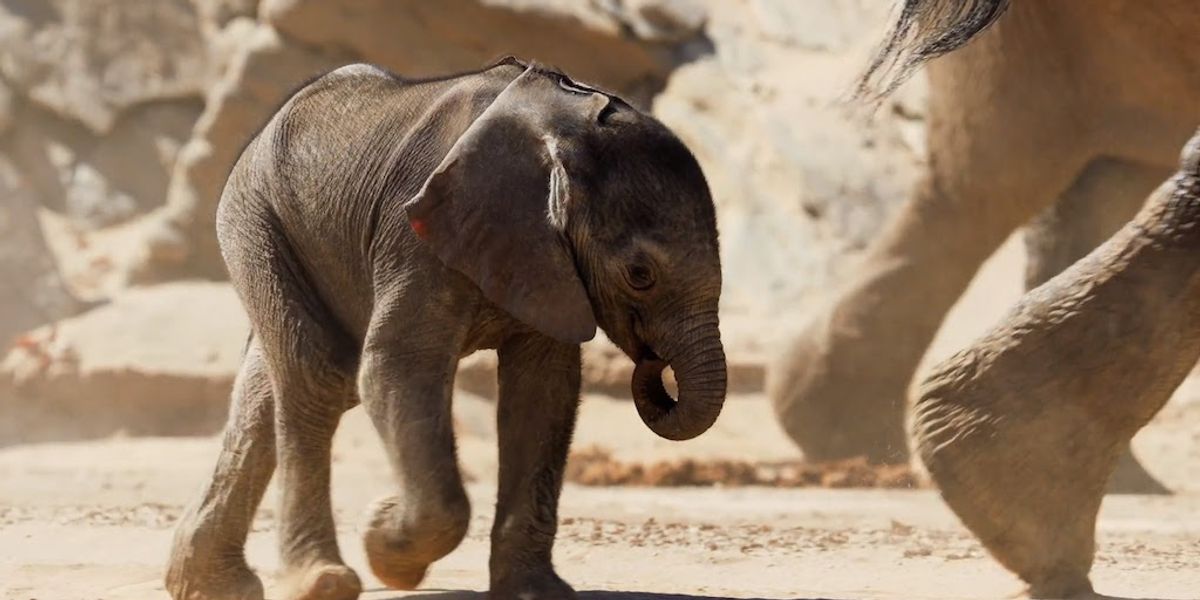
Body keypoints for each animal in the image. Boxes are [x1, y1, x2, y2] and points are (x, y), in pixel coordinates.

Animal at [164, 58, 726, 600]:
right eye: (640, 275)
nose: (653, 364)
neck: (562, 126)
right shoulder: (415, 234)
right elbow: (397, 367)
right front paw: (383, 540)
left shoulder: (545, 256)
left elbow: (543, 392)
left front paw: (537, 593)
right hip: (256, 216)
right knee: (320, 376)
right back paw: (320, 583)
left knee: (272, 386)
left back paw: (209, 586)